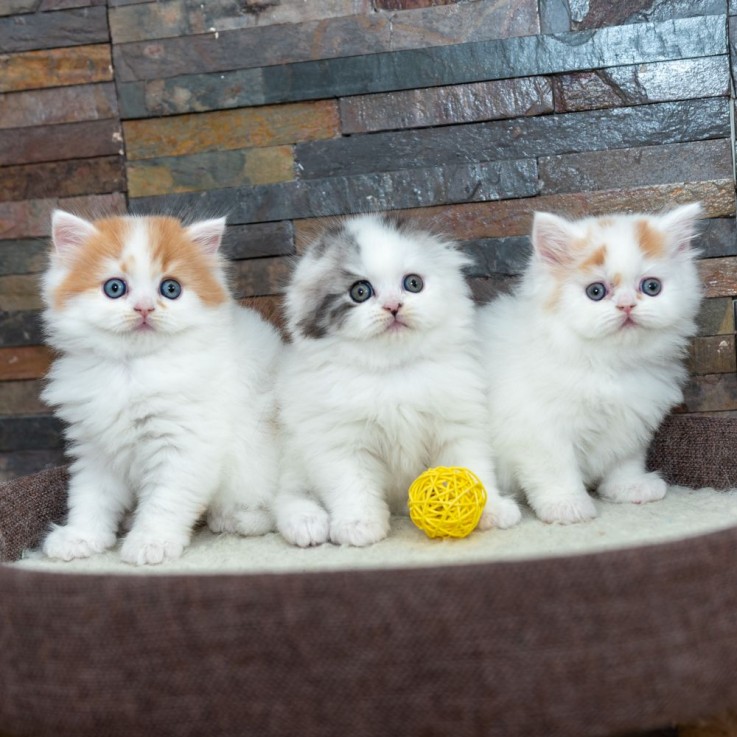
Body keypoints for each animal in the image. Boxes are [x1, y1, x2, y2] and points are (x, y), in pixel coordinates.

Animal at [41, 210, 282, 568]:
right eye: (115, 288)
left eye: (170, 289)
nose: (144, 308)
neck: (132, 369)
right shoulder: (96, 447)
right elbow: (90, 496)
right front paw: (82, 537)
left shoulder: (186, 443)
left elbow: (167, 499)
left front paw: (151, 541)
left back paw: (235, 518)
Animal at [276, 213, 524, 548]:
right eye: (360, 292)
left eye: (413, 284)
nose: (393, 306)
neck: (394, 371)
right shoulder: (341, 441)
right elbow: (352, 484)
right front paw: (359, 525)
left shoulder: (457, 424)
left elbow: (473, 465)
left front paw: (491, 509)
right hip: (292, 452)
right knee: (285, 494)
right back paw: (306, 522)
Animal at [478, 203, 700, 524]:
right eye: (596, 291)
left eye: (651, 287)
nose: (627, 305)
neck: (607, 364)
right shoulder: (539, 429)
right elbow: (555, 469)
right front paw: (566, 506)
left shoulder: (632, 421)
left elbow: (625, 459)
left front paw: (628, 487)